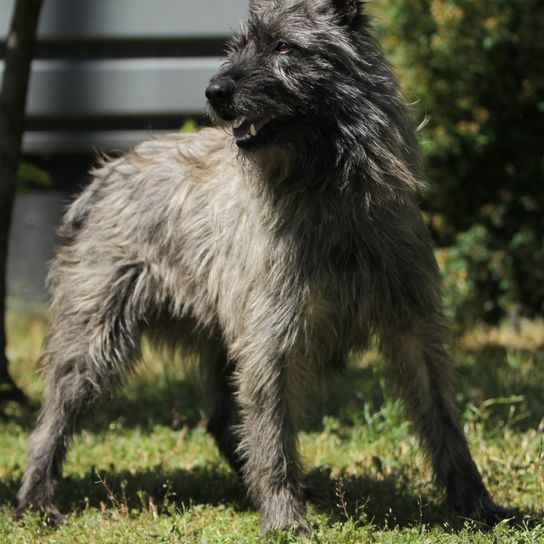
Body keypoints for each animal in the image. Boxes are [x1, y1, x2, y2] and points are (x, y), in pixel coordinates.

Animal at [18, 0, 510, 532]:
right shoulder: (271, 340)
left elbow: (443, 421)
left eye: (284, 47)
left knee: (224, 422)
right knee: (54, 415)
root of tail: (105, 173)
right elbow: (273, 435)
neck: (327, 192)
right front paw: (283, 517)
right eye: (237, 47)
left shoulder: (412, 327)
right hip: (96, 335)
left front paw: (476, 501)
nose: (215, 91)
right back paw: (36, 498)